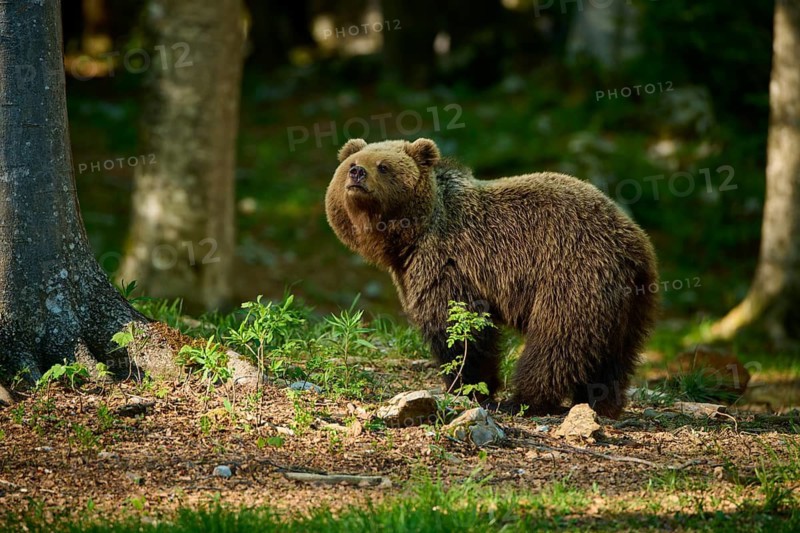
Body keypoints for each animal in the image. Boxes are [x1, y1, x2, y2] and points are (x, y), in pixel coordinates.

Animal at [325, 138, 658, 418]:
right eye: (353, 161)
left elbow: (459, 328)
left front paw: (468, 387)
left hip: (571, 276)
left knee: (555, 343)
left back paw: (524, 401)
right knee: (613, 355)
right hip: (629, 302)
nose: (357, 173)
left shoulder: (447, 262)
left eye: (383, 165)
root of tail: (634, 243)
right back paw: (599, 401)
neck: (410, 236)